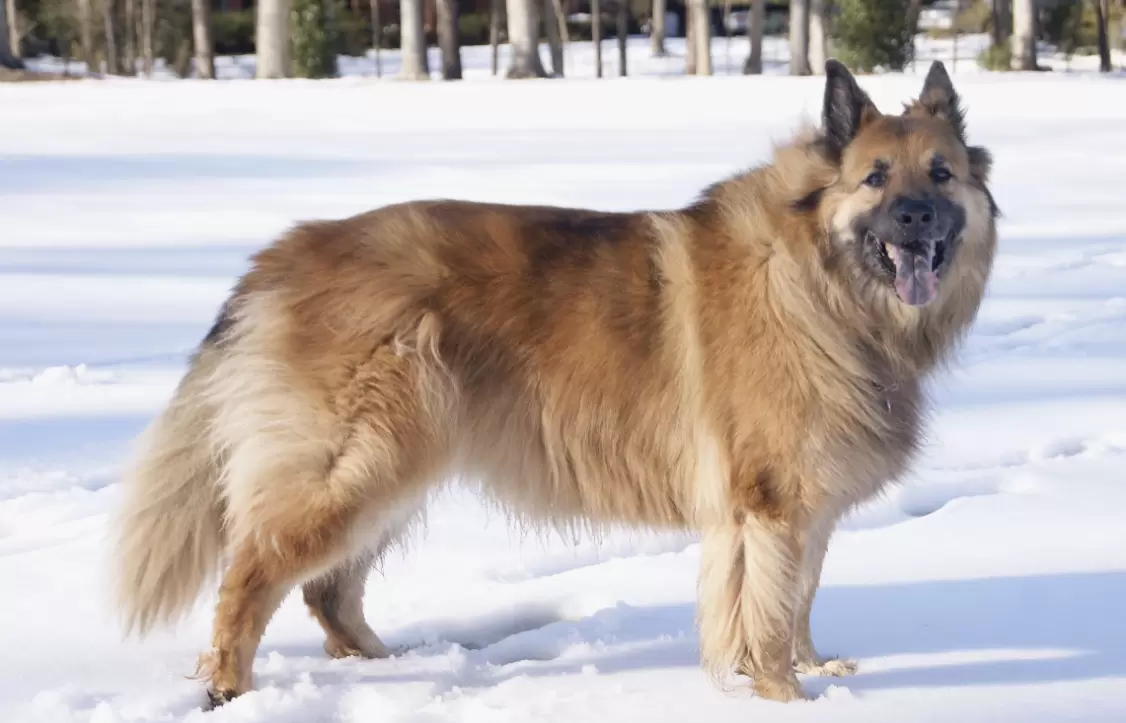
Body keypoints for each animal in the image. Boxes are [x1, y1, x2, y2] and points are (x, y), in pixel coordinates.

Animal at [112, 59, 995, 702]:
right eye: (876, 178)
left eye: (940, 174)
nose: (916, 218)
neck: (818, 279)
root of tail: (280, 254)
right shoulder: (771, 503)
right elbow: (770, 612)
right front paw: (786, 696)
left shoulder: (803, 508)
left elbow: (799, 597)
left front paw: (811, 672)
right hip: (357, 466)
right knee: (253, 575)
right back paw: (233, 687)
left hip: (393, 470)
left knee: (329, 590)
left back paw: (387, 667)